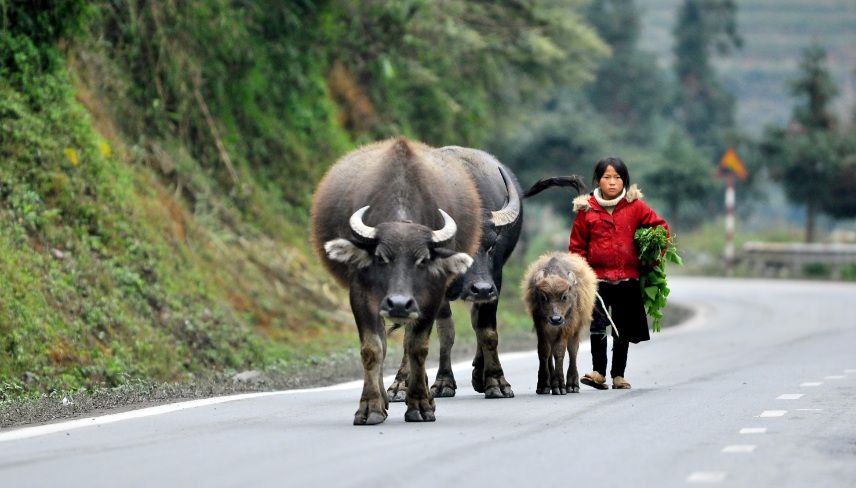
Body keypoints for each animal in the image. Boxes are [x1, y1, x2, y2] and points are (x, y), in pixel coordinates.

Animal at [308, 136, 482, 424]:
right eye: (381, 258)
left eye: (422, 260)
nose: (399, 304)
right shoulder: (360, 293)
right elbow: (372, 347)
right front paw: (371, 407)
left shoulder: (432, 296)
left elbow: (417, 347)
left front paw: (420, 404)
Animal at [386, 147, 520, 402]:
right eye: (456, 246)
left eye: (491, 245)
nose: (481, 289)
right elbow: (442, 332)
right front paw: (437, 382)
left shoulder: (496, 280)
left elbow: (487, 330)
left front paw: (496, 382)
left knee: (477, 320)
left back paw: (479, 374)